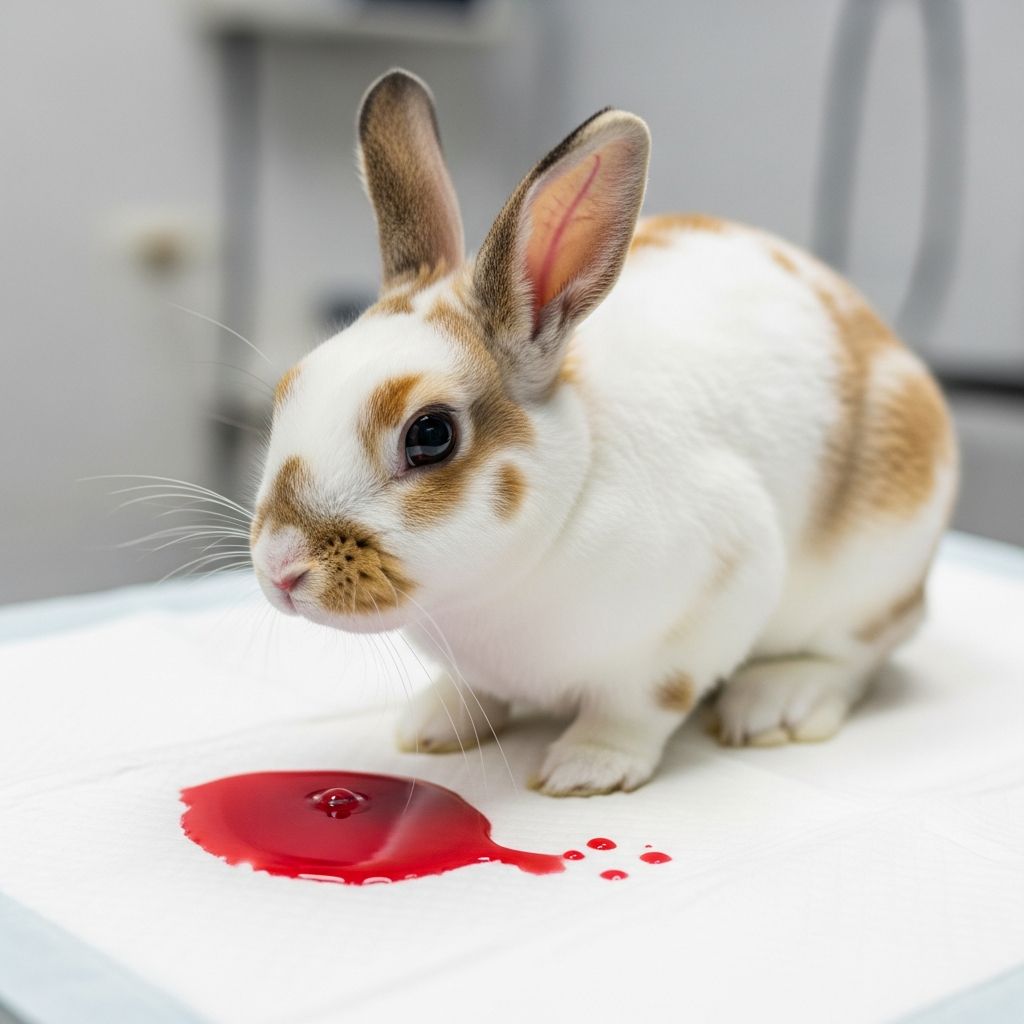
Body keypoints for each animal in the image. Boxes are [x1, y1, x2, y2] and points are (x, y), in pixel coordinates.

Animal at [250, 68, 957, 796]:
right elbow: (474, 691)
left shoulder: (722, 583)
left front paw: (585, 768)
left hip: (873, 574)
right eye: (290, 388)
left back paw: (776, 703)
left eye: (430, 435)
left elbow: (641, 703)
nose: (279, 568)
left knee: (862, 652)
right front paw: (432, 726)